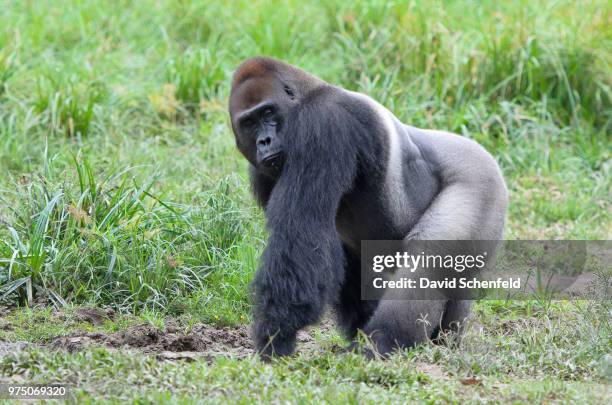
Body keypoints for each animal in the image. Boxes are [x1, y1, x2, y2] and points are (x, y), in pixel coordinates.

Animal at [228, 56, 506, 356]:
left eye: (268, 113)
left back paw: (383, 339)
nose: (264, 141)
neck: (308, 92)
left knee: (429, 258)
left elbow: (300, 234)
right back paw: (441, 339)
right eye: (249, 122)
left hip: (480, 180)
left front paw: (275, 335)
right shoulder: (262, 174)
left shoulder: (324, 120)